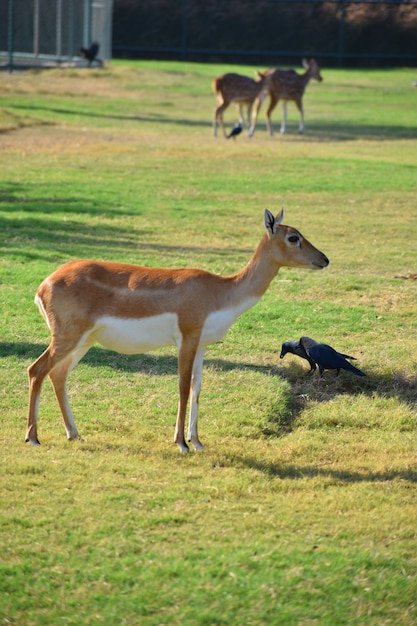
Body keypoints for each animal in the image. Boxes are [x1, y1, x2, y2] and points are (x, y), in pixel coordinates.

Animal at [25, 207, 328, 450]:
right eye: (293, 237)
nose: (324, 259)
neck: (220, 292)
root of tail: (43, 285)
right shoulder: (187, 338)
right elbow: (183, 386)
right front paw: (181, 443)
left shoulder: (202, 344)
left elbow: (197, 388)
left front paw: (198, 442)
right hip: (68, 337)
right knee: (36, 369)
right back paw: (33, 438)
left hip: (84, 341)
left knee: (58, 374)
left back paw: (74, 434)